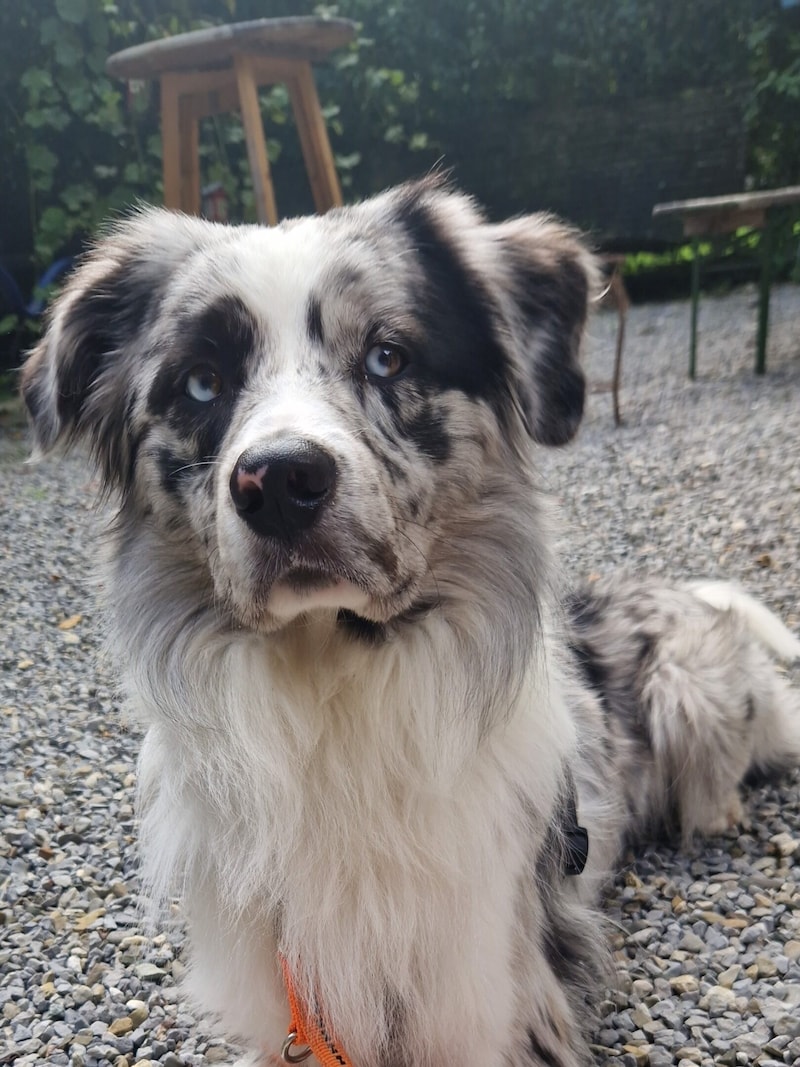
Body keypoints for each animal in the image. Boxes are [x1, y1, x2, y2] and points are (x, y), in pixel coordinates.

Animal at [20, 179, 800, 1062]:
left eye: (388, 356)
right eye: (201, 381)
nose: (280, 480)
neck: (335, 698)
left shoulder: (489, 993)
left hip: (688, 692)